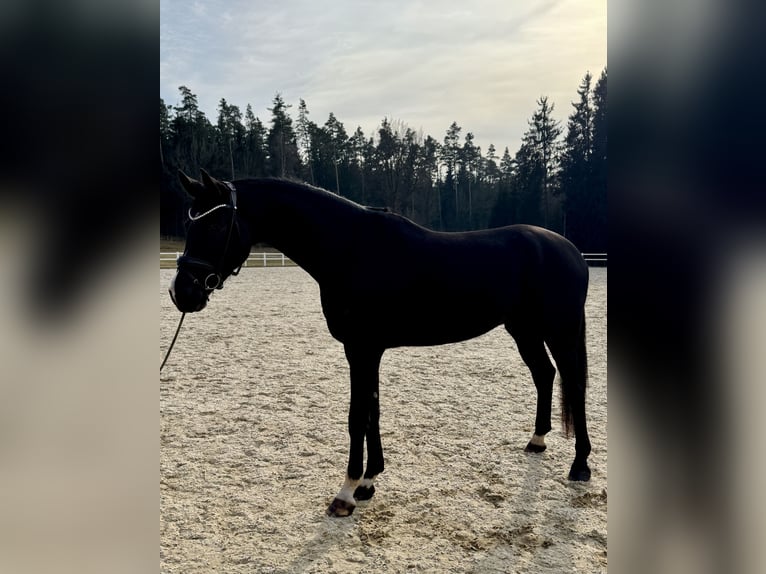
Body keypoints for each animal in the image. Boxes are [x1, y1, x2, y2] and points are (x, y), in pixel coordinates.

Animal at [170, 169, 592, 520]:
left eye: (217, 223)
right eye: (189, 223)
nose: (182, 293)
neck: (350, 249)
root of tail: (570, 249)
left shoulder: (362, 348)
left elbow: (357, 415)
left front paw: (345, 493)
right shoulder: (364, 351)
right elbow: (373, 409)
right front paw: (369, 482)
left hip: (560, 329)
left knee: (574, 383)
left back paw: (581, 465)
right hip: (523, 329)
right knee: (545, 374)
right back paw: (537, 441)